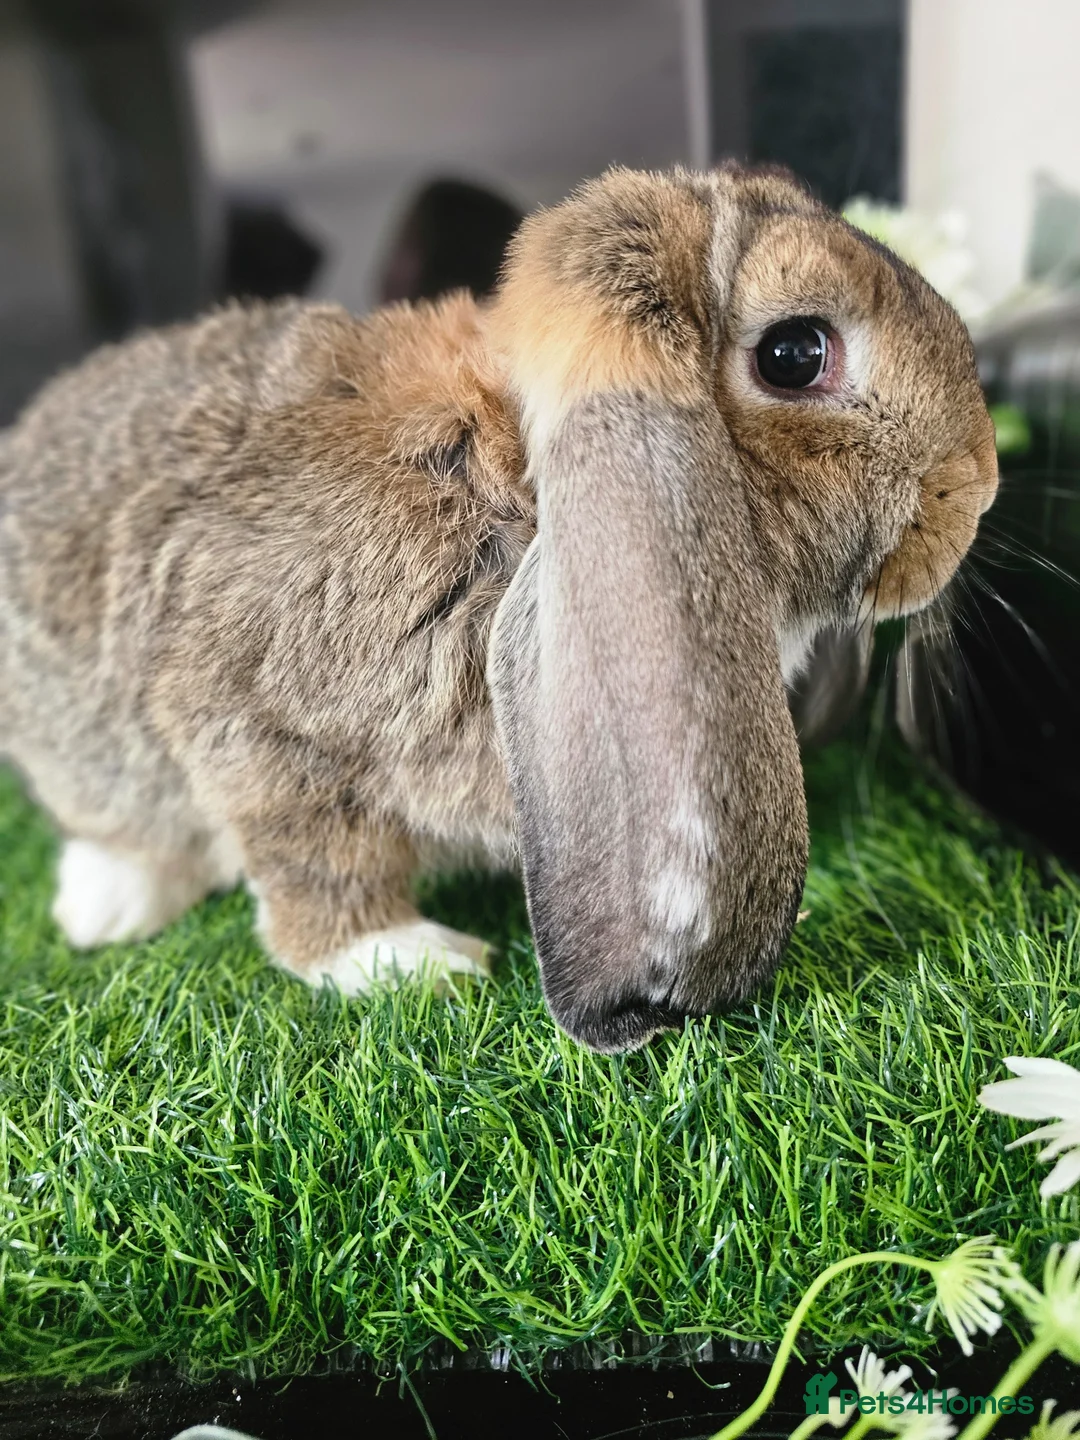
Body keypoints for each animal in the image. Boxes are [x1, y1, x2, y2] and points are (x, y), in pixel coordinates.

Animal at [0, 164, 998, 1053]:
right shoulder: (262, 725)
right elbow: (318, 861)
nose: (978, 487)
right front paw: (409, 961)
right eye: (795, 354)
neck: (511, 475)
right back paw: (105, 908)